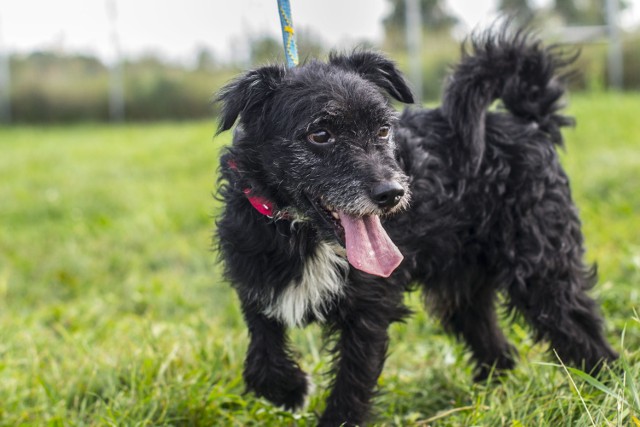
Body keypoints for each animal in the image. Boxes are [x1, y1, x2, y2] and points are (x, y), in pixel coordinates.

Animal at [212, 27, 616, 427]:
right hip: (463, 286)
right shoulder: (257, 279)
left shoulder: (369, 309)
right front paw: (289, 388)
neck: (302, 232)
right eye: (320, 134)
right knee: (496, 345)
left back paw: (603, 387)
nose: (392, 193)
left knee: (578, 324)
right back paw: (487, 398)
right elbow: (262, 349)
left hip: (540, 266)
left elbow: (351, 383)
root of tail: (530, 124)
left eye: (383, 130)